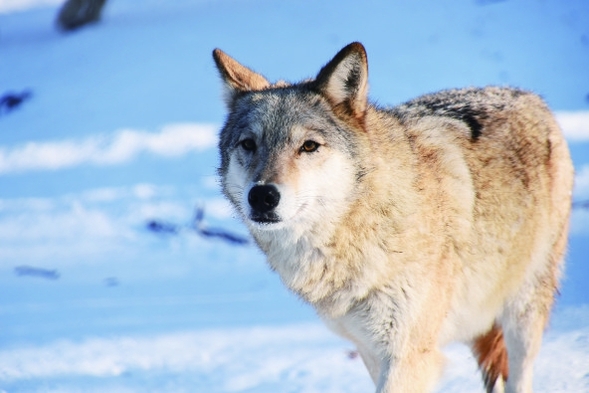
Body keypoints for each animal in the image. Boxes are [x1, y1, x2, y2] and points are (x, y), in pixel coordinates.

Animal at [212, 43, 576, 392]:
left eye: (309, 146)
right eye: (248, 144)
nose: (262, 196)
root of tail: (528, 96)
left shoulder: (408, 354)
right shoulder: (371, 350)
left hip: (523, 313)